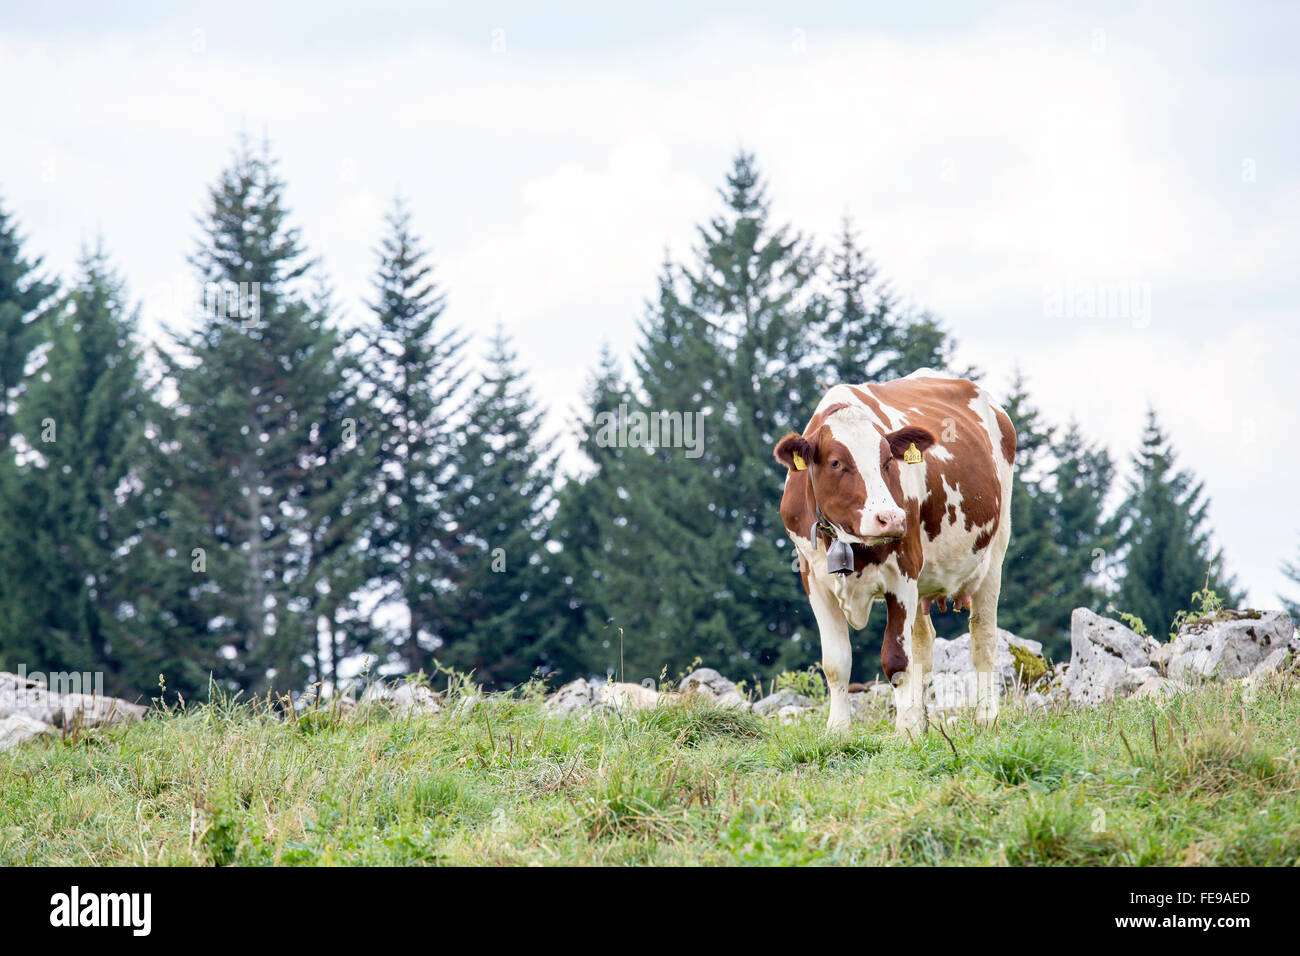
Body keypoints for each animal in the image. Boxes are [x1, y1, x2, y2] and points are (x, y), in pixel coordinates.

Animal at [772, 369, 1016, 735]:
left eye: (888, 460)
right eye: (836, 462)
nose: (891, 518)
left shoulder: (902, 574)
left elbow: (897, 660)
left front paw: (905, 733)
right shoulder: (813, 578)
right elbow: (836, 662)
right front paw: (838, 730)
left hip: (994, 552)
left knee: (983, 637)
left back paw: (986, 715)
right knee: (923, 644)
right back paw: (921, 717)